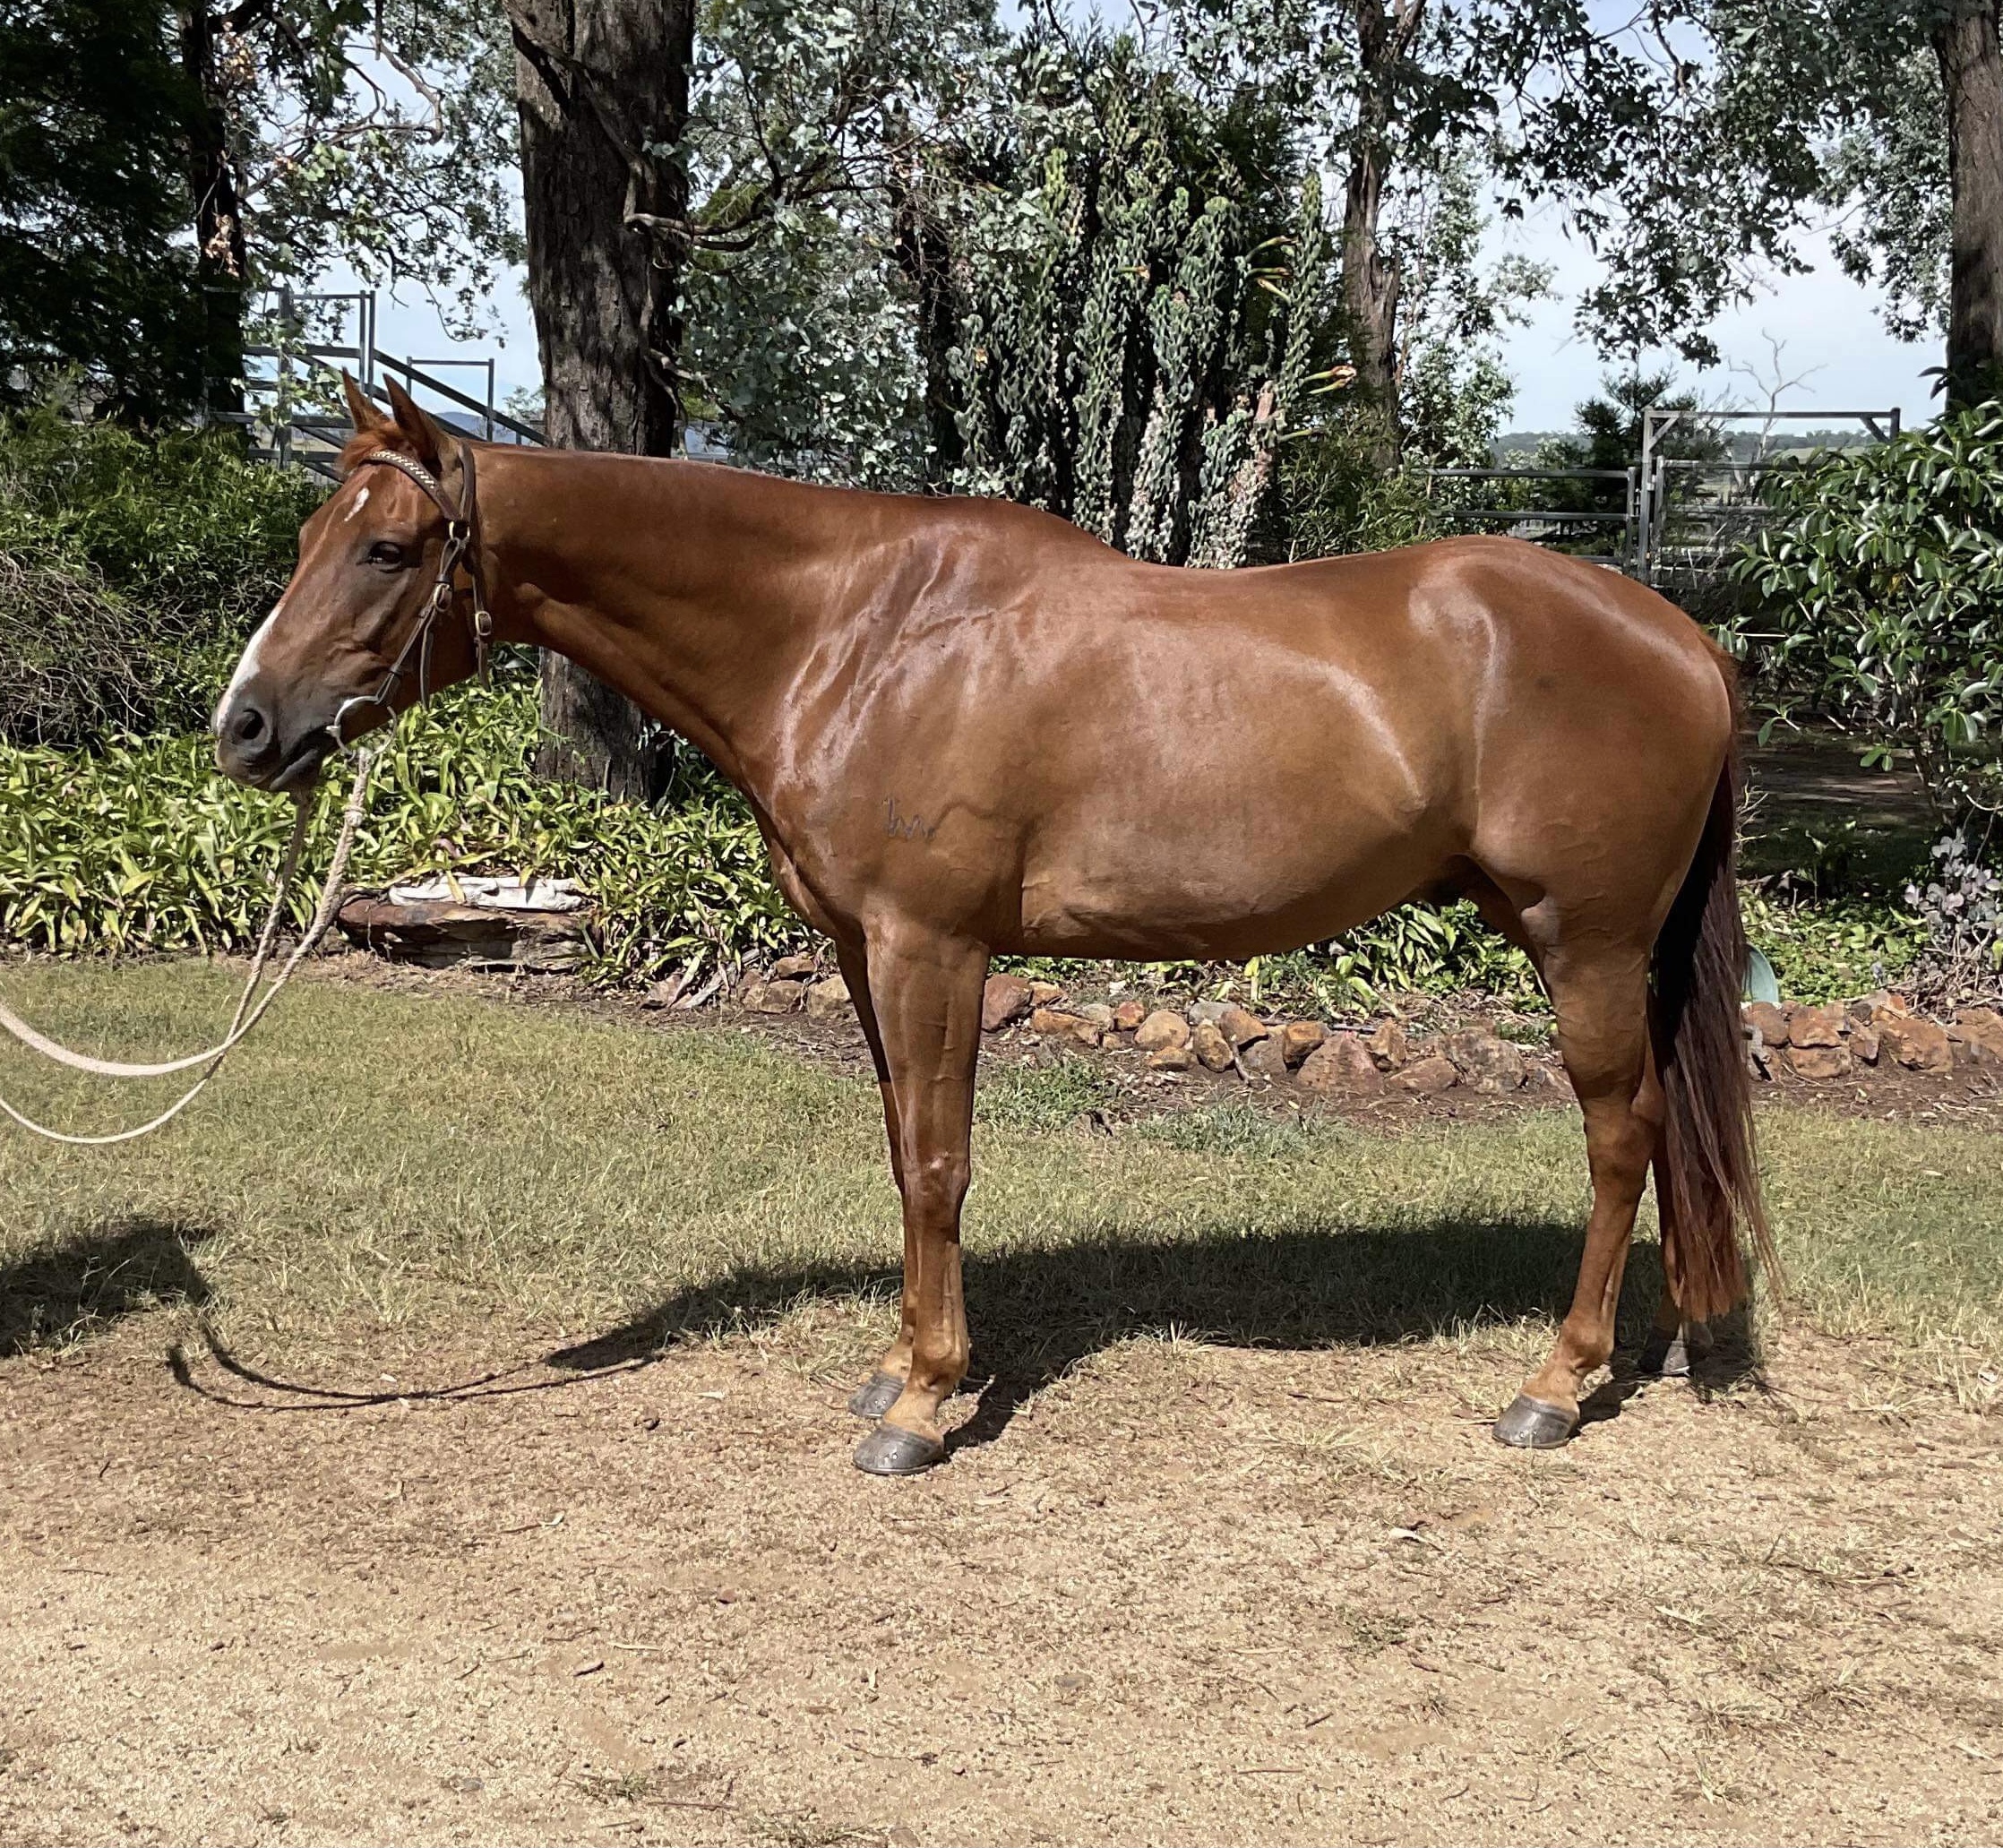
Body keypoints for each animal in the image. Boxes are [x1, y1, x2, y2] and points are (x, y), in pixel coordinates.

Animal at [213, 375, 1770, 1476]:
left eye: (388, 547)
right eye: (307, 535)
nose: (244, 728)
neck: (856, 633)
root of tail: (1684, 637)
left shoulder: (933, 946)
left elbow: (938, 1164)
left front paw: (918, 1404)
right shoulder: (864, 950)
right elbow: (905, 1146)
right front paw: (907, 1363)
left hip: (1587, 946)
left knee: (1622, 1133)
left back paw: (1553, 1384)